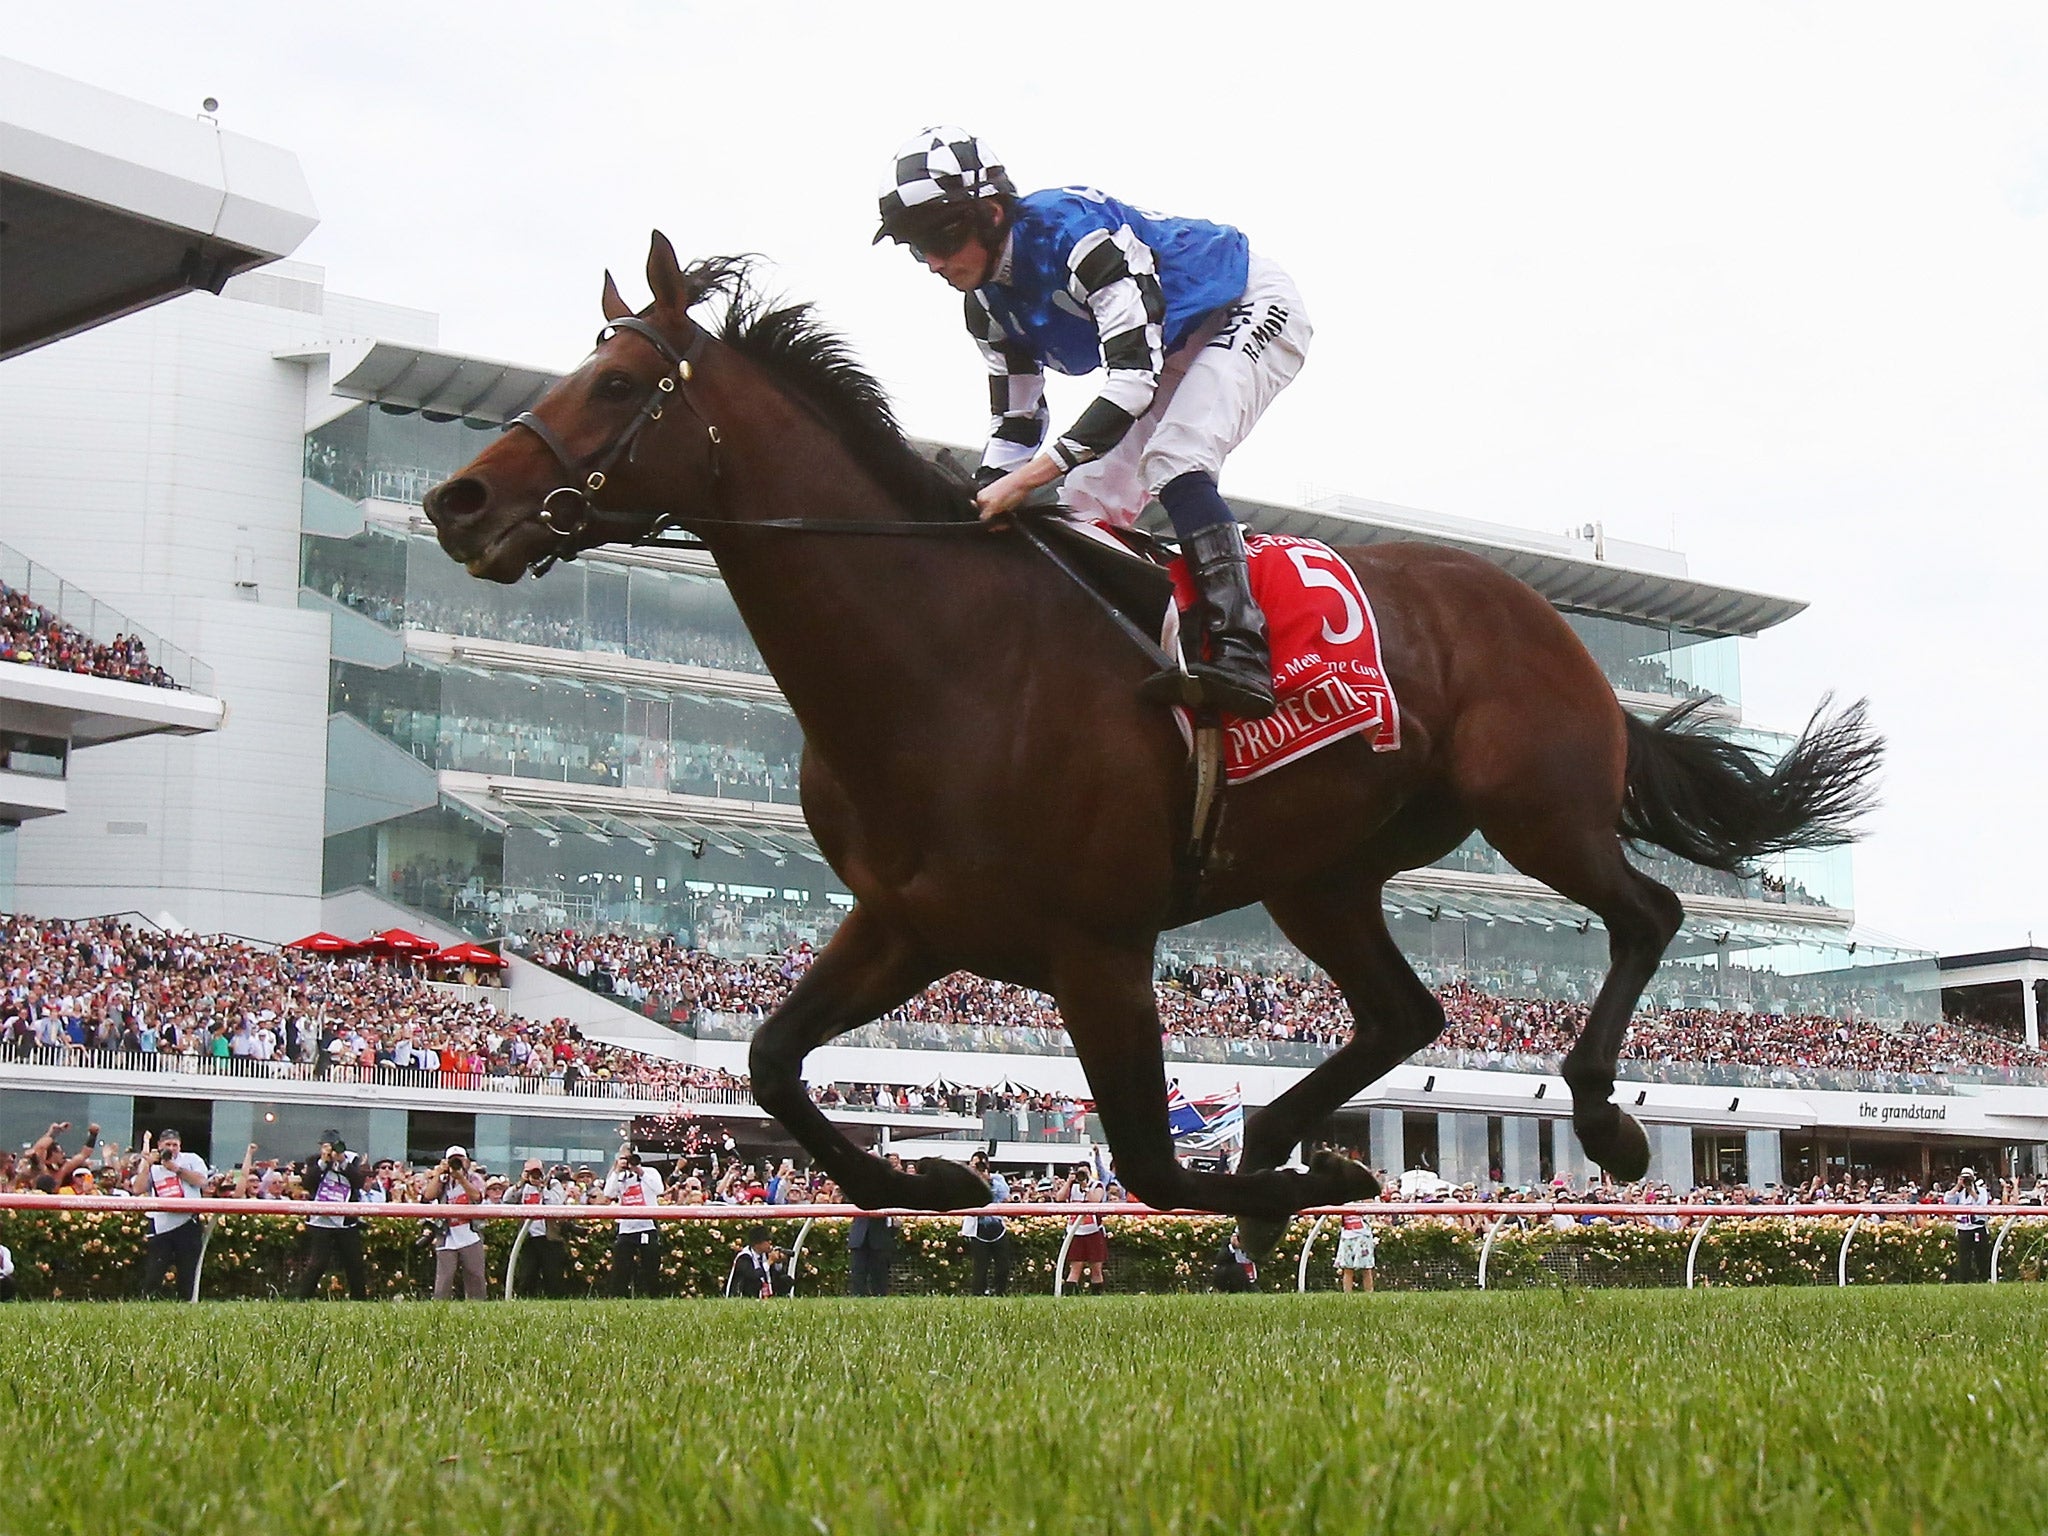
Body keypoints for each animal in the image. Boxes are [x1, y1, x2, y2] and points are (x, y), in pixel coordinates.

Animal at [423, 231, 1875, 1236]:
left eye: (617, 380)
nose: (456, 501)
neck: (939, 663)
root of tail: (1541, 612)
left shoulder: (1099, 942)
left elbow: (1144, 1161)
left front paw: (1298, 1185)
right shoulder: (909, 922)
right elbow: (774, 1061)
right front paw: (932, 1177)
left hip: (1536, 808)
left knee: (1645, 915)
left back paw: (1593, 1124)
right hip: (1320, 874)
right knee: (1407, 1011)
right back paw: (1288, 1131)